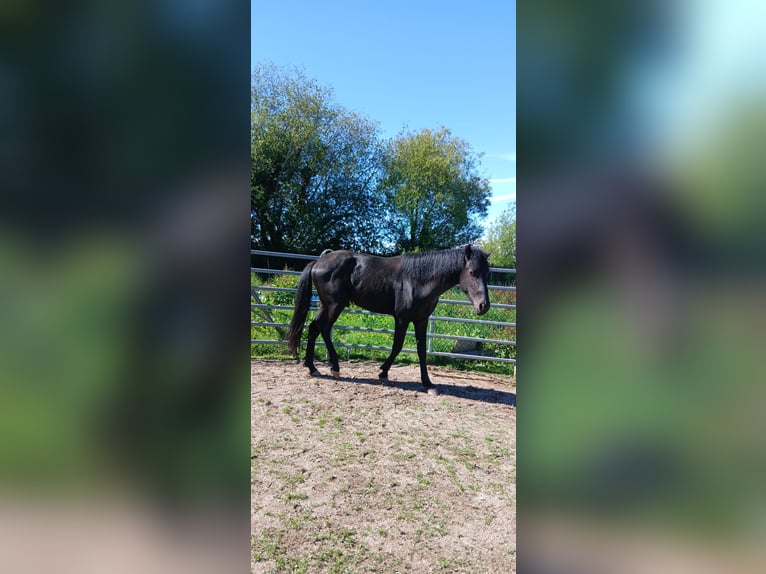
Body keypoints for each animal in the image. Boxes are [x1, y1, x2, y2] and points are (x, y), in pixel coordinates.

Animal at [286, 244, 491, 390]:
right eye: (472, 272)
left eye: (487, 273)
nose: (484, 306)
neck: (419, 279)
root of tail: (318, 262)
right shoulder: (401, 318)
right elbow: (397, 346)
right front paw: (383, 372)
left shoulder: (421, 320)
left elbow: (422, 350)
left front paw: (427, 382)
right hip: (334, 306)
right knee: (323, 328)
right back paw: (332, 367)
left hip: (326, 305)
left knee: (315, 328)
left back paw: (313, 367)